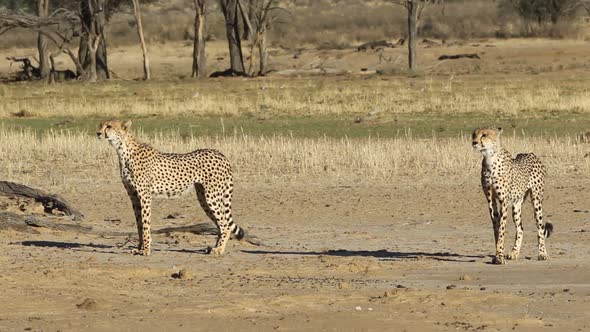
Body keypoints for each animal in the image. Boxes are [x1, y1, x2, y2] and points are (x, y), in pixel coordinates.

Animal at [97, 120, 245, 256]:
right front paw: (139, 248)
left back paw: (219, 249)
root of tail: (220, 154)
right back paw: (214, 247)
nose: (98, 133)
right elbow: (139, 224)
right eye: (101, 125)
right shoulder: (133, 196)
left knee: (225, 225)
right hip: (203, 198)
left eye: (109, 126)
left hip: (212, 196)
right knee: (220, 224)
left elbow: (145, 223)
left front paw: (146, 250)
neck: (122, 149)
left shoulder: (144, 196)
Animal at [472, 127, 556, 264]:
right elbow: (496, 228)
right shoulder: (491, 201)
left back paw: (542, 253)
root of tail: (531, 154)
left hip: (536, 200)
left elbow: (502, 229)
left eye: (484, 135)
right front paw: (498, 254)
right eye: (474, 134)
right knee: (520, 228)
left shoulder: (503, 201)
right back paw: (514, 253)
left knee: (540, 228)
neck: (490, 158)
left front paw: (499, 256)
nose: (474, 142)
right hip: (516, 205)